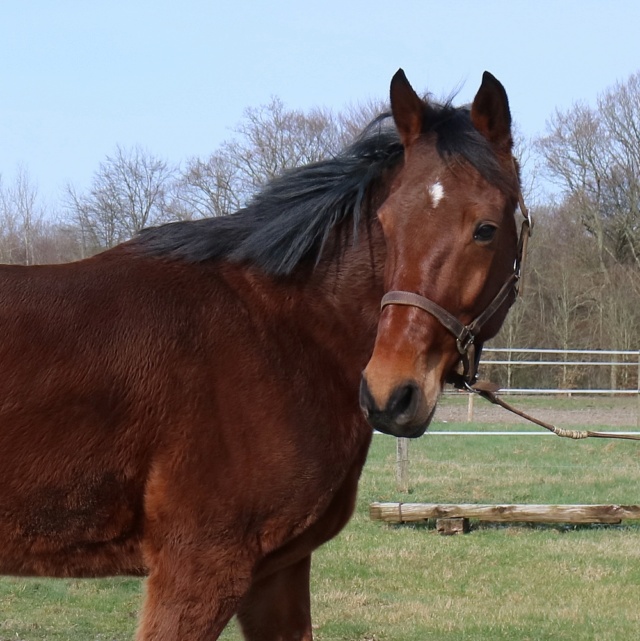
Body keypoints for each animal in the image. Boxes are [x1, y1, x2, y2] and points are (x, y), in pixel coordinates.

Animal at [0, 67, 520, 636]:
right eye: (384, 224)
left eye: (486, 229)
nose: (391, 394)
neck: (278, 332)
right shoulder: (200, 568)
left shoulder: (277, 571)